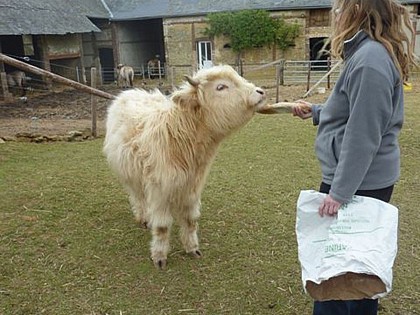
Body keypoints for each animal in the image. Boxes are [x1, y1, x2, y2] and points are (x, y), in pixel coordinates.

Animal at [103, 65, 266, 270]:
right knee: (138, 198)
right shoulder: (160, 190)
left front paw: (192, 249)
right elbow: (162, 226)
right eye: (221, 87)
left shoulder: (192, 189)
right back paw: (143, 218)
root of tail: (130, 92)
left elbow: (190, 221)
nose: (260, 92)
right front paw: (159, 256)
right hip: (130, 177)